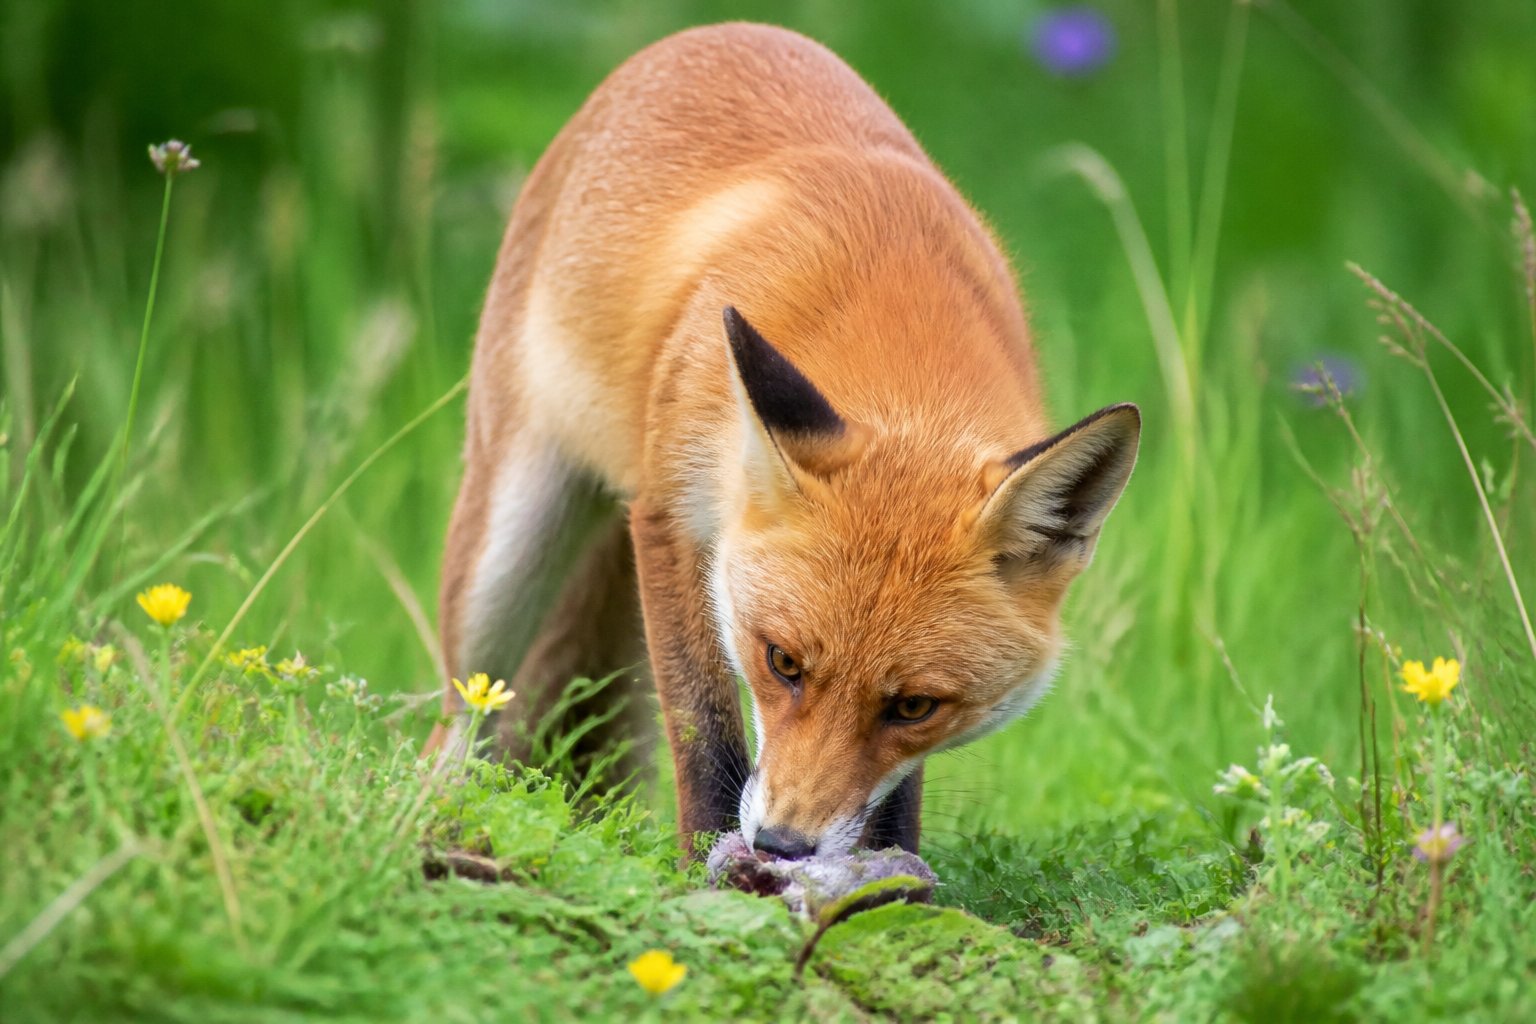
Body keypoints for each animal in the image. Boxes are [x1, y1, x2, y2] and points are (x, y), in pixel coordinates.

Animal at [431, 22, 1140, 861]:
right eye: (783, 663)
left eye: (915, 707)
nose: (782, 844)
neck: (898, 327)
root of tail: (715, 33)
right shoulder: (669, 518)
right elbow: (703, 731)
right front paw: (708, 866)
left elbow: (897, 791)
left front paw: (885, 868)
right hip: (507, 555)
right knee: (463, 713)